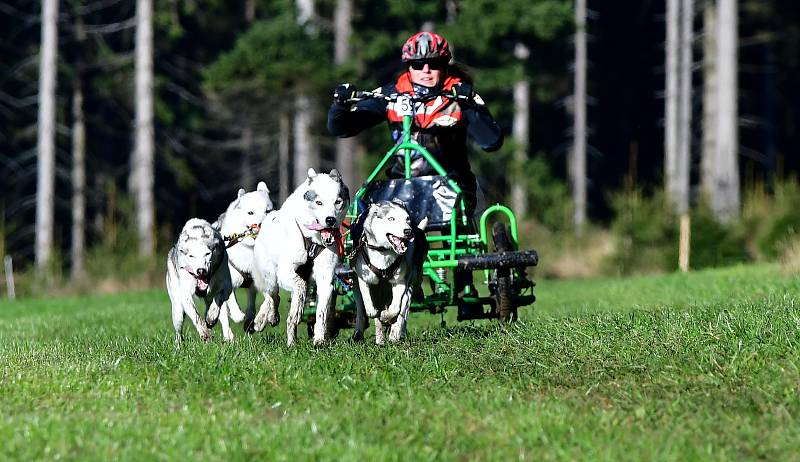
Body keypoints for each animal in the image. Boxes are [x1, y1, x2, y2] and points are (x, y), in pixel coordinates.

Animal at [211, 181, 274, 340]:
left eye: (268, 211)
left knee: (251, 303)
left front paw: (262, 319)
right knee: (223, 314)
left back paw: (250, 322)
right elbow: (231, 304)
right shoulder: (227, 283)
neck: (250, 248)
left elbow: (268, 300)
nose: (263, 224)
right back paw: (229, 335)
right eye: (250, 213)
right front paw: (238, 315)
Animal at [252, 170, 348, 346]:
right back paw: (269, 317)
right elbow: (300, 287)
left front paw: (319, 339)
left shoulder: (325, 276)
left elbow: (321, 311)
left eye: (338, 202)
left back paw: (290, 340)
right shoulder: (286, 271)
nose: (330, 220)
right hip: (270, 275)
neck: (312, 239)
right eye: (318, 202)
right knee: (272, 295)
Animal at [350, 200, 424, 344]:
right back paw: (369, 336)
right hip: (358, 286)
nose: (408, 231)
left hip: (410, 286)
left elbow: (395, 310)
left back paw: (395, 334)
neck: (383, 251)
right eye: (391, 219)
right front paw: (378, 319)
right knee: (362, 310)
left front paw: (387, 318)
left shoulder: (400, 282)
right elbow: (371, 310)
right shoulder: (365, 281)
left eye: (407, 219)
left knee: (403, 309)